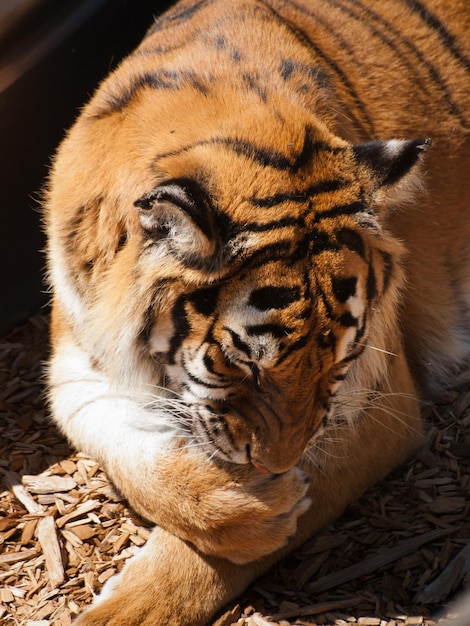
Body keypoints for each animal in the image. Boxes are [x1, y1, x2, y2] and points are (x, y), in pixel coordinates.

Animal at [42, 0, 468, 620]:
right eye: (242, 365)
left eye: (338, 365)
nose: (274, 469)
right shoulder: (77, 369)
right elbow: (136, 461)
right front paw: (246, 506)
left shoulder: (376, 405)